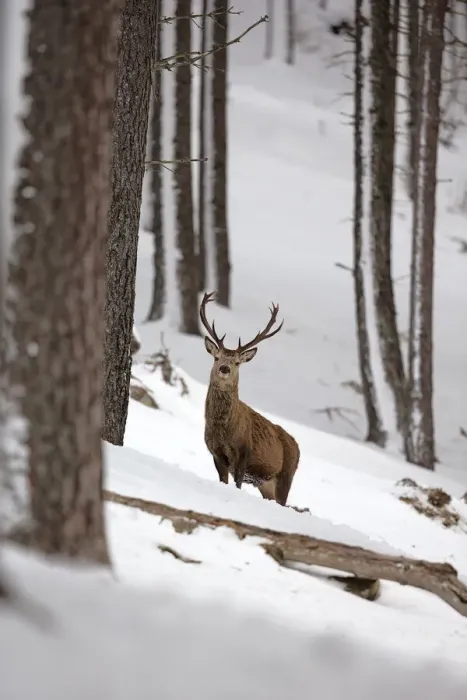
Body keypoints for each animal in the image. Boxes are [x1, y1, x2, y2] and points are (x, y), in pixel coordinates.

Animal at [199, 291, 300, 507]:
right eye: (216, 357)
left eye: (237, 362)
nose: (224, 368)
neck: (223, 430)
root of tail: (297, 447)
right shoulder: (215, 453)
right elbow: (223, 481)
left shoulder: (244, 453)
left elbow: (237, 484)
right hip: (266, 483)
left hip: (287, 474)